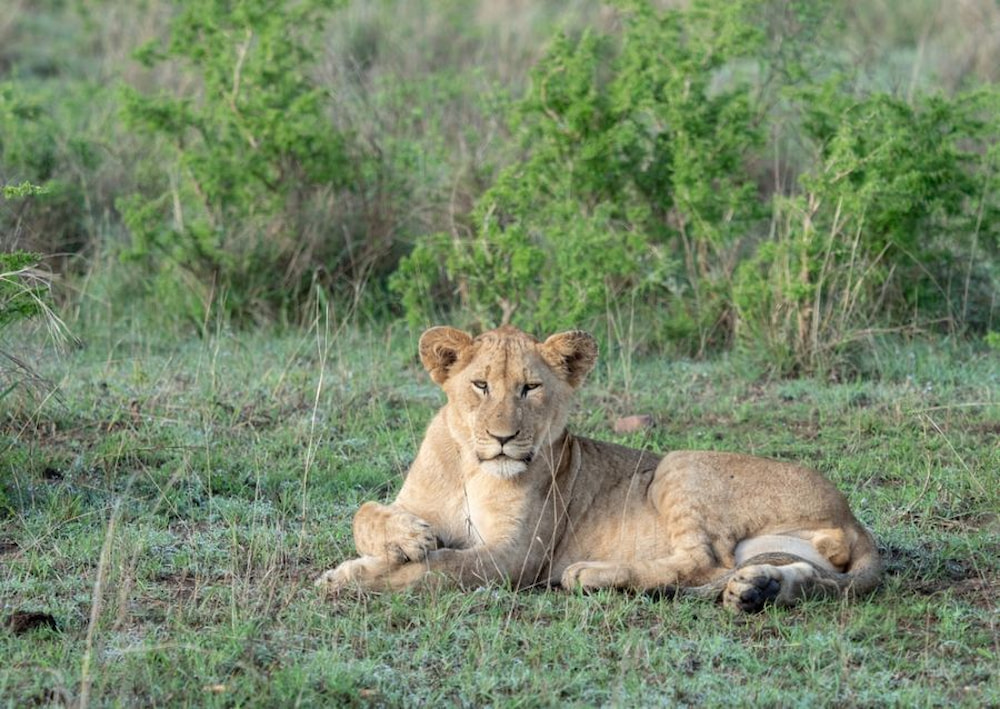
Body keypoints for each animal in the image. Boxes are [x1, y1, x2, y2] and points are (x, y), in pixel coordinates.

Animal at [315, 325, 880, 612]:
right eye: (480, 385)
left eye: (530, 388)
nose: (503, 439)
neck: (471, 468)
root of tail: (853, 518)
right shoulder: (415, 503)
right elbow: (365, 513)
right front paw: (405, 539)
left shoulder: (515, 556)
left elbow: (440, 568)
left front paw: (351, 576)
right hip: (788, 550)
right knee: (798, 576)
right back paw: (756, 590)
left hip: (677, 464)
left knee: (702, 561)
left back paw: (589, 574)